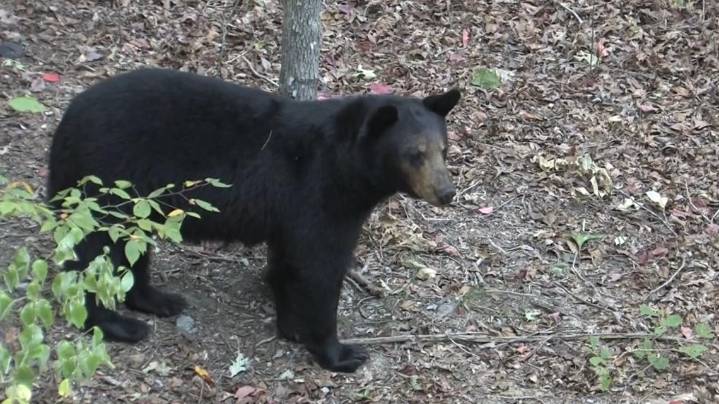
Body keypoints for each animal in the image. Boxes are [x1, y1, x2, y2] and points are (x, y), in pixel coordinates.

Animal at [47, 68, 460, 373]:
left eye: (443, 149)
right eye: (414, 153)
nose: (446, 192)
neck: (347, 168)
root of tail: (67, 120)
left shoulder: (294, 210)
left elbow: (289, 260)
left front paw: (292, 325)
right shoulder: (320, 195)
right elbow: (320, 267)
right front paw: (339, 351)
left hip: (135, 202)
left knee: (130, 246)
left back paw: (159, 299)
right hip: (105, 181)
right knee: (93, 251)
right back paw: (117, 324)